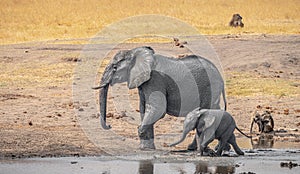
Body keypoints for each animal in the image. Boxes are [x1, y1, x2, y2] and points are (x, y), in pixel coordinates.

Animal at [92, 46, 226, 150]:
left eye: (115, 67)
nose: (110, 126)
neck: (134, 52)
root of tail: (220, 76)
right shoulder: (144, 82)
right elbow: (144, 108)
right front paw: (146, 148)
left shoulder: (155, 79)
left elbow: (158, 108)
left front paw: (142, 137)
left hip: (211, 87)